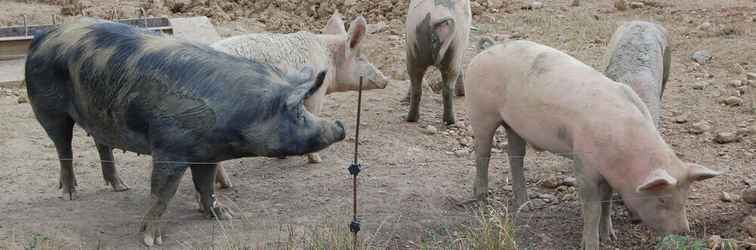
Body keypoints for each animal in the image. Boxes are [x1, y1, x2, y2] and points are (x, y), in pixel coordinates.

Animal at [24, 17, 346, 246]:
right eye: (297, 112)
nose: (340, 126)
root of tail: (43, 35)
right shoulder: (170, 146)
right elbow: (163, 192)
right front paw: (151, 240)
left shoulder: (207, 152)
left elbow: (206, 185)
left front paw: (223, 215)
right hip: (47, 108)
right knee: (63, 148)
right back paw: (69, 194)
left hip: (99, 112)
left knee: (101, 143)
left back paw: (120, 186)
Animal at [466, 40, 720, 249]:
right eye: (663, 199)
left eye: (685, 198)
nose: (684, 231)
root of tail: (483, 52)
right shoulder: (583, 164)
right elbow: (592, 208)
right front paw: (591, 244)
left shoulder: (608, 173)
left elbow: (606, 201)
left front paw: (610, 237)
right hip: (481, 112)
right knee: (482, 153)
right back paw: (481, 197)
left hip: (514, 125)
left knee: (516, 156)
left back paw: (526, 205)